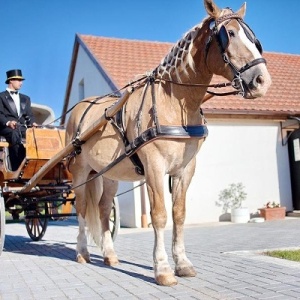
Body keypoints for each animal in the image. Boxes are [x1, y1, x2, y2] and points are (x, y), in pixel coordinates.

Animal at [65, 0, 272, 286]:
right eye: (229, 34)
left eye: (254, 39)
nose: (262, 81)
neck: (173, 103)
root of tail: (79, 109)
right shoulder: (154, 167)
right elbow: (160, 215)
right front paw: (162, 268)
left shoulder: (185, 169)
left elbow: (179, 214)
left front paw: (182, 263)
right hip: (80, 171)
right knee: (83, 208)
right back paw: (82, 252)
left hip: (108, 174)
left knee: (104, 209)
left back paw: (109, 255)